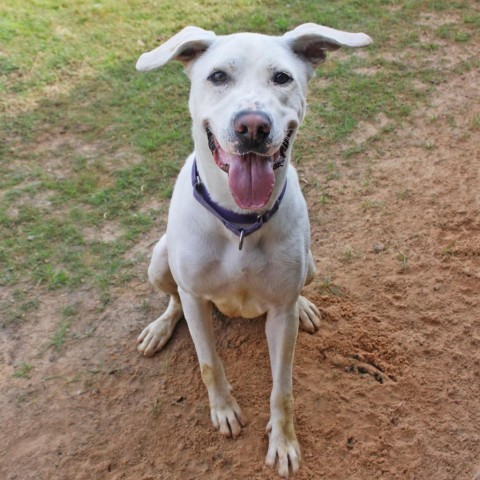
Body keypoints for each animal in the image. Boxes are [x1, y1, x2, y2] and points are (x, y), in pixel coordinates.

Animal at [135, 25, 372, 476]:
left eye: (282, 78)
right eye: (217, 76)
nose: (252, 127)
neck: (240, 223)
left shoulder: (279, 314)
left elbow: (283, 388)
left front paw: (284, 443)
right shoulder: (195, 297)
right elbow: (209, 363)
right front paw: (225, 411)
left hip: (310, 264)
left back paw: (305, 308)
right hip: (159, 261)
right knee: (172, 299)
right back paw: (159, 328)